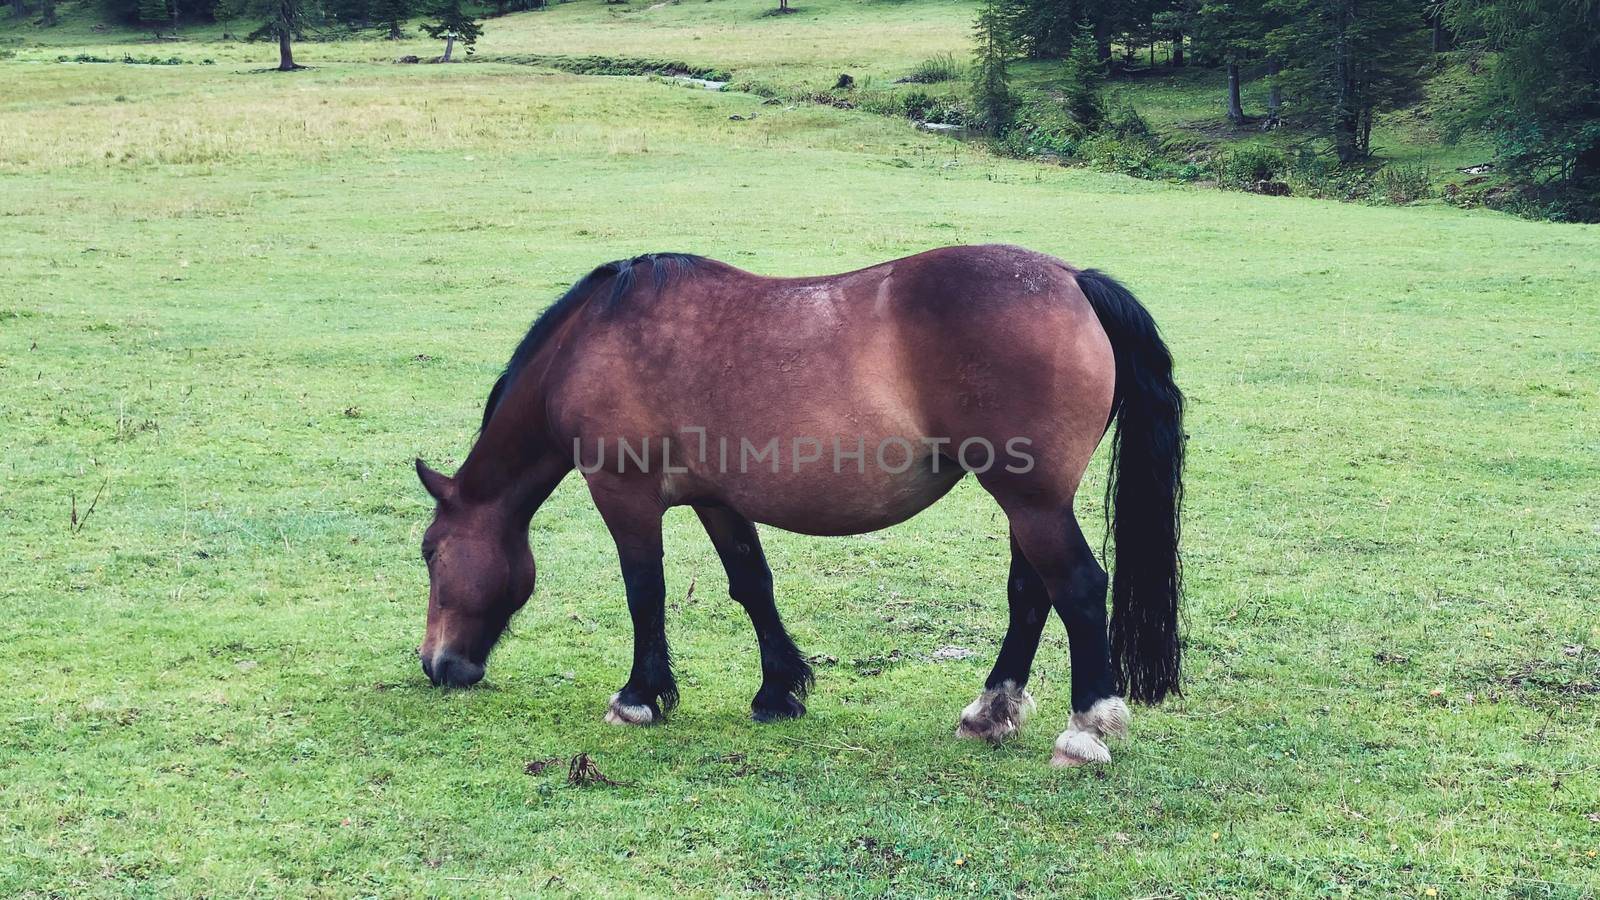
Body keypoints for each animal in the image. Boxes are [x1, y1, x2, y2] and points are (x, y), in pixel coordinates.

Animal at [419, 243, 1184, 762]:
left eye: (430, 554)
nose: (437, 665)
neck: (591, 341)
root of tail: (1073, 281)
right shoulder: (718, 498)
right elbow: (751, 584)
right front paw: (779, 692)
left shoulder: (623, 493)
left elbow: (645, 591)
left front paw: (639, 698)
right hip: (1029, 504)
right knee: (1031, 594)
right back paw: (990, 711)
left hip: (1032, 501)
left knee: (1076, 587)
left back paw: (1085, 730)